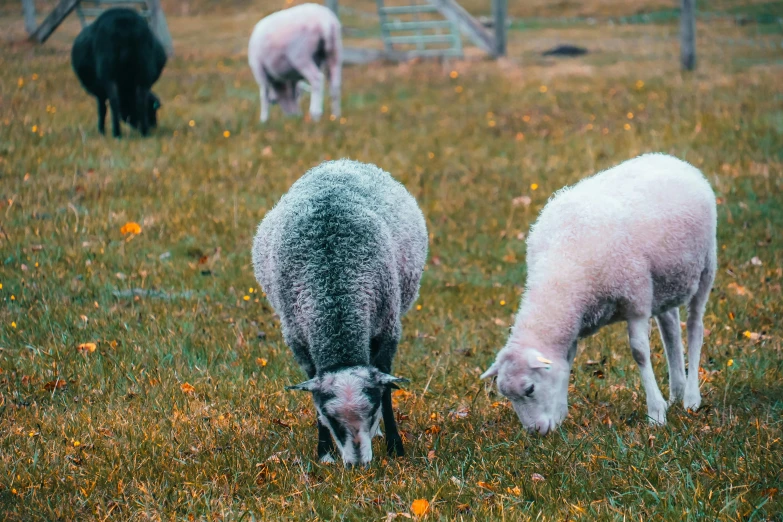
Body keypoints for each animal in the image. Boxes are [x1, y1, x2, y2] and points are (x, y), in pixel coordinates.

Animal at [72, 8, 167, 137]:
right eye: (153, 110)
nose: (154, 125)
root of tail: (124, 23)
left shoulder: (100, 90)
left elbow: (102, 109)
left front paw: (101, 131)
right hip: (143, 71)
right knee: (140, 100)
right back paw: (143, 133)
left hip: (108, 72)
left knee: (115, 102)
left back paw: (117, 133)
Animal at [253, 157, 428, 464]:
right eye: (331, 418)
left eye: (371, 410)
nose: (358, 464)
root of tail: (339, 162)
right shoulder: (300, 343)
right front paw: (324, 453)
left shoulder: (387, 331)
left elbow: (387, 391)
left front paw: (395, 447)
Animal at [478, 152, 716, 432]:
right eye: (508, 396)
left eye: (529, 389)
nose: (535, 433)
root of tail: (668, 157)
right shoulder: (577, 318)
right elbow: (566, 361)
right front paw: (561, 413)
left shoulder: (635, 299)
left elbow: (639, 353)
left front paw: (656, 413)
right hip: (663, 284)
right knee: (670, 327)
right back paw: (677, 391)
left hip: (705, 267)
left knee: (695, 326)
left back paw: (691, 397)